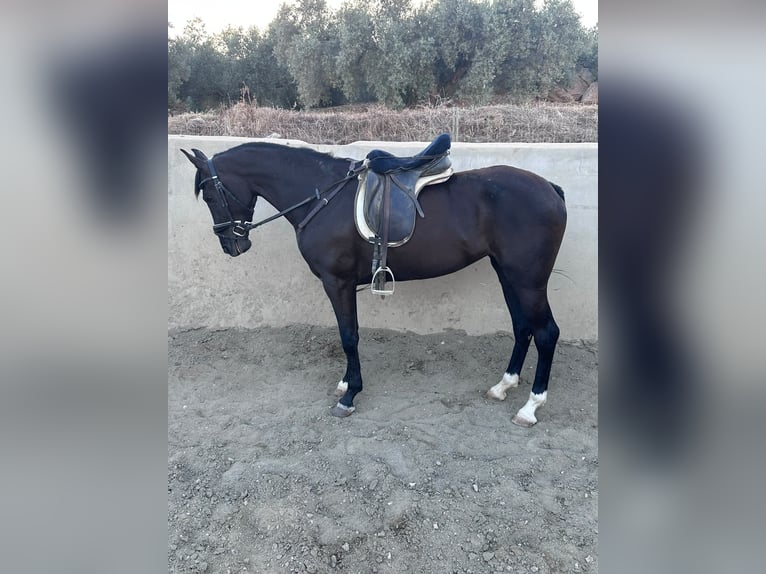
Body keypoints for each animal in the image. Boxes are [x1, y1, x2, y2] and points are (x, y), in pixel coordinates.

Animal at [181, 139, 567, 427]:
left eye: (211, 195)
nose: (232, 246)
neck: (323, 197)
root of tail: (550, 188)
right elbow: (348, 334)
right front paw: (345, 384)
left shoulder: (337, 282)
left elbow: (348, 336)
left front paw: (350, 395)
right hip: (508, 274)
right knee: (522, 327)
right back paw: (503, 385)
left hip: (527, 280)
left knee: (546, 332)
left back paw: (530, 407)